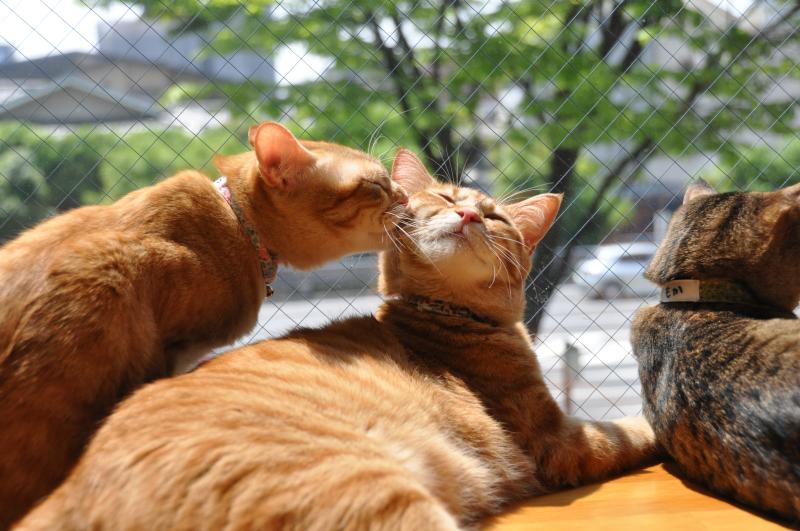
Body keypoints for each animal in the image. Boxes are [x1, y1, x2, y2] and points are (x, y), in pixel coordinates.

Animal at [18, 149, 659, 531]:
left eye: (496, 218)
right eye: (445, 198)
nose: (472, 217)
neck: (437, 316)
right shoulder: (560, 439)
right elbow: (633, 427)